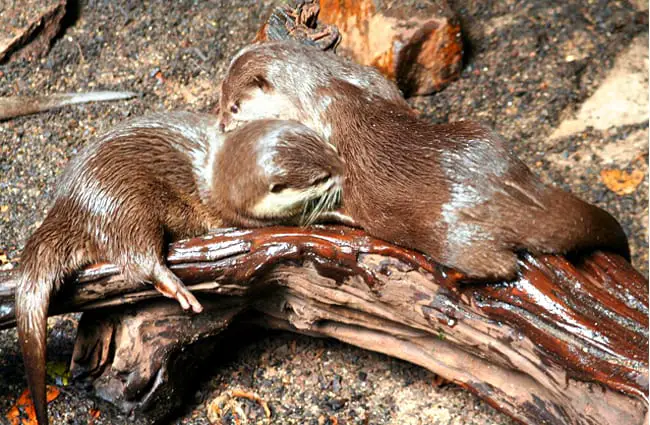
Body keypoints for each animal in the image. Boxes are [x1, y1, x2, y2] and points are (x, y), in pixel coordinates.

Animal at [13, 112, 344, 424]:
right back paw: (176, 287)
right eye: (321, 178)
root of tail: (69, 207)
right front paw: (330, 214)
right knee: (138, 256)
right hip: (122, 205)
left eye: (331, 149)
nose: (343, 172)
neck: (217, 175)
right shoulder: (238, 214)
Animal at [218, 39, 628, 278]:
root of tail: (511, 194)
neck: (320, 85)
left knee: (500, 266)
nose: (221, 124)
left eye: (234, 106)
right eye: (220, 99)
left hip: (452, 236)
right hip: (483, 134)